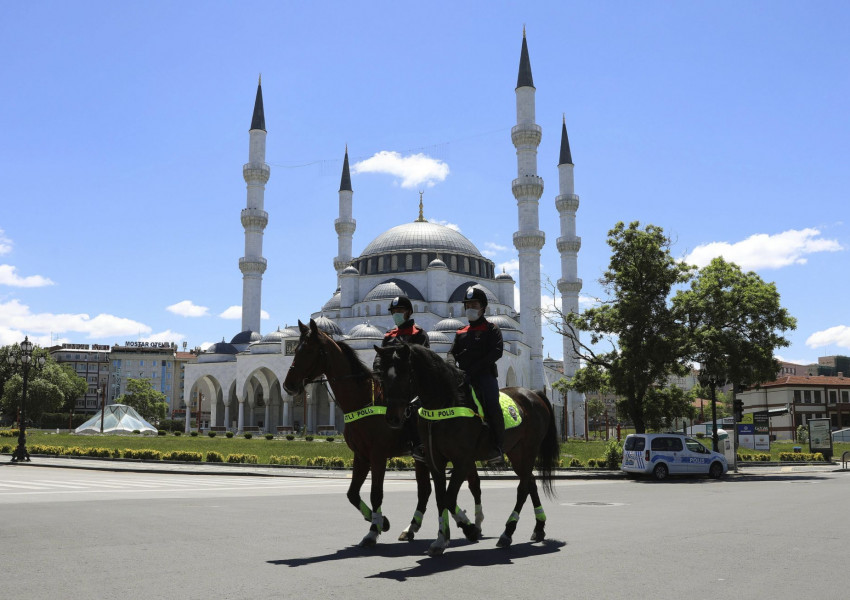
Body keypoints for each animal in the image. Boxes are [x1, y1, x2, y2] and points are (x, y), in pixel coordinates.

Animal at [282, 322, 480, 548]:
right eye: (296, 350)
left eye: (309, 350)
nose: (288, 385)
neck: (364, 399)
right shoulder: (360, 455)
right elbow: (352, 493)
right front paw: (381, 522)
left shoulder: (378, 455)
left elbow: (376, 493)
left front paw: (373, 531)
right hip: (422, 457)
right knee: (426, 490)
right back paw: (419, 527)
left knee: (470, 484)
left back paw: (472, 525)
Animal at [374, 342, 560, 556]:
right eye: (383, 377)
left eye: (406, 376)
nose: (392, 418)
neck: (445, 404)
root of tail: (533, 392)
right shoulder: (434, 460)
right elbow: (441, 498)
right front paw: (443, 538)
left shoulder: (462, 461)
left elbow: (448, 498)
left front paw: (467, 530)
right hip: (516, 452)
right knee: (530, 482)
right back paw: (538, 528)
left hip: (529, 448)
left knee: (522, 488)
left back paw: (507, 532)